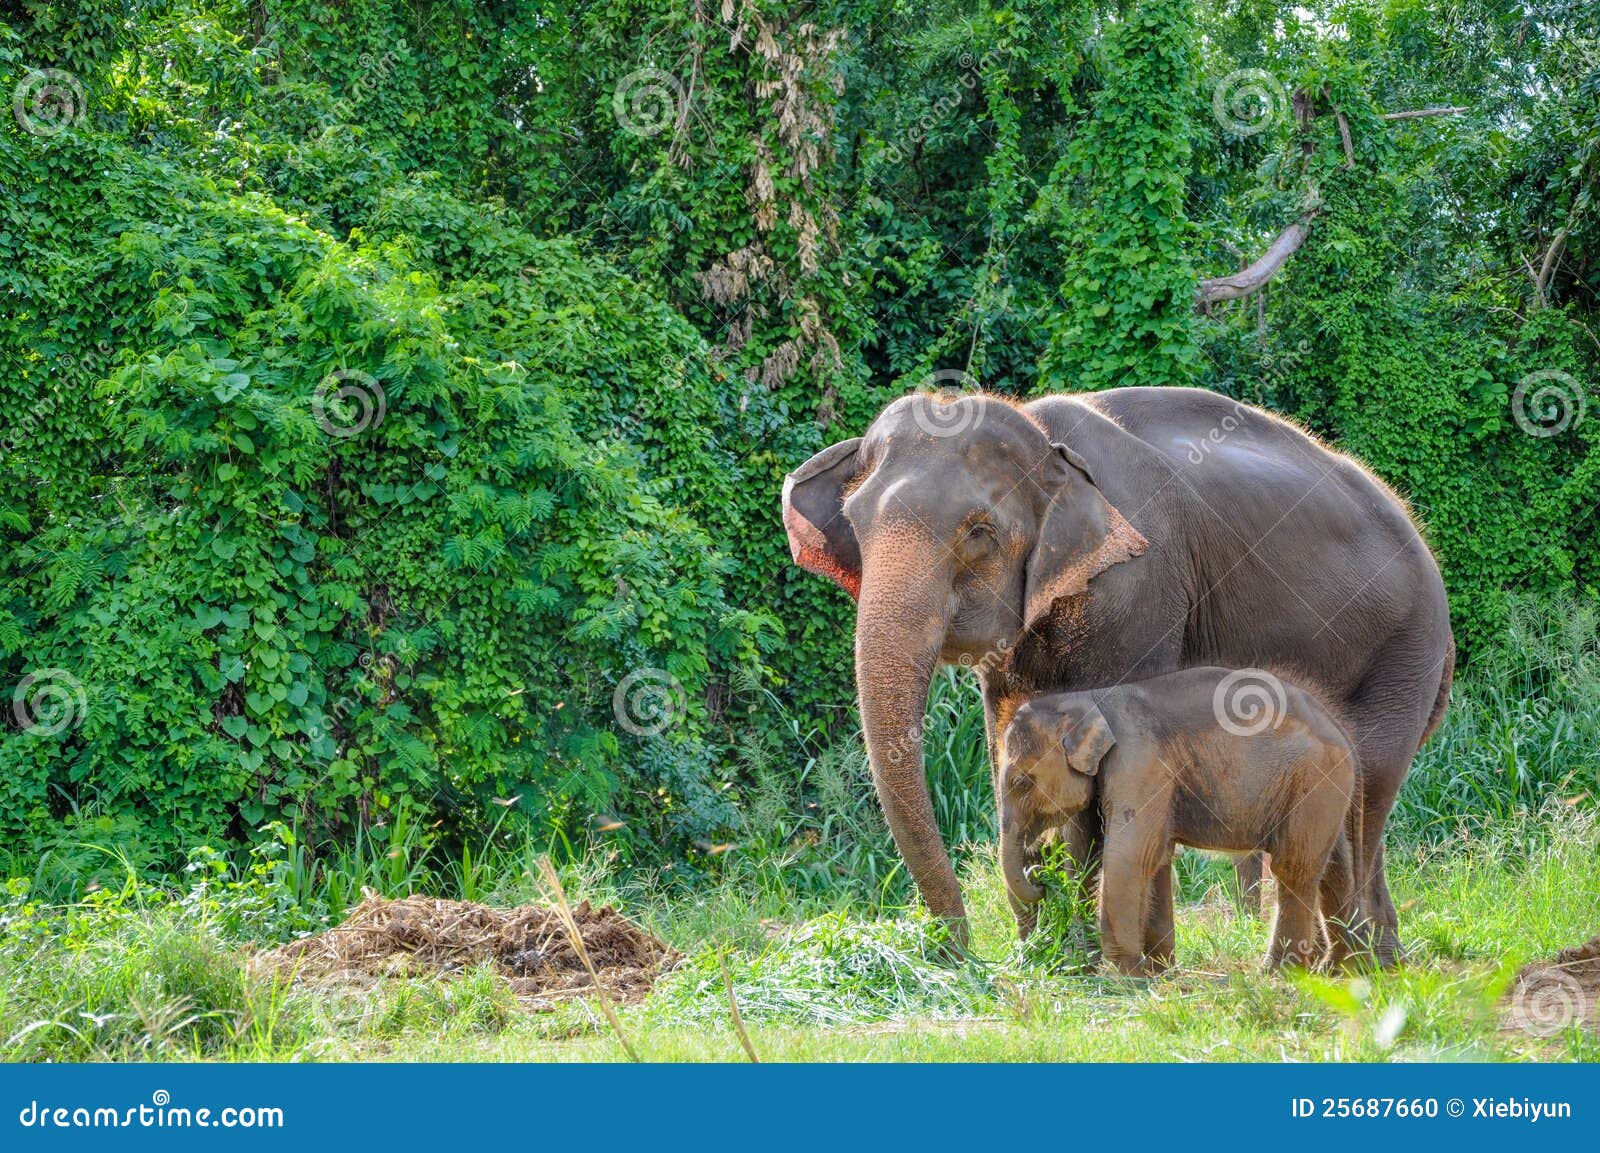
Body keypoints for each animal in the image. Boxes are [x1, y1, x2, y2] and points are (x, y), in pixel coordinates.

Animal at [998, 668, 1364, 974]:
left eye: (1021, 782)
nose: (1039, 877)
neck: (1086, 698)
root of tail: (1340, 731)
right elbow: (1156, 856)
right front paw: (1159, 972)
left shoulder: (1139, 761)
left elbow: (1129, 857)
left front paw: (1124, 978)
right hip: (1327, 790)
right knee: (1334, 869)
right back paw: (1339, 971)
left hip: (1312, 781)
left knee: (1294, 868)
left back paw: (1280, 973)